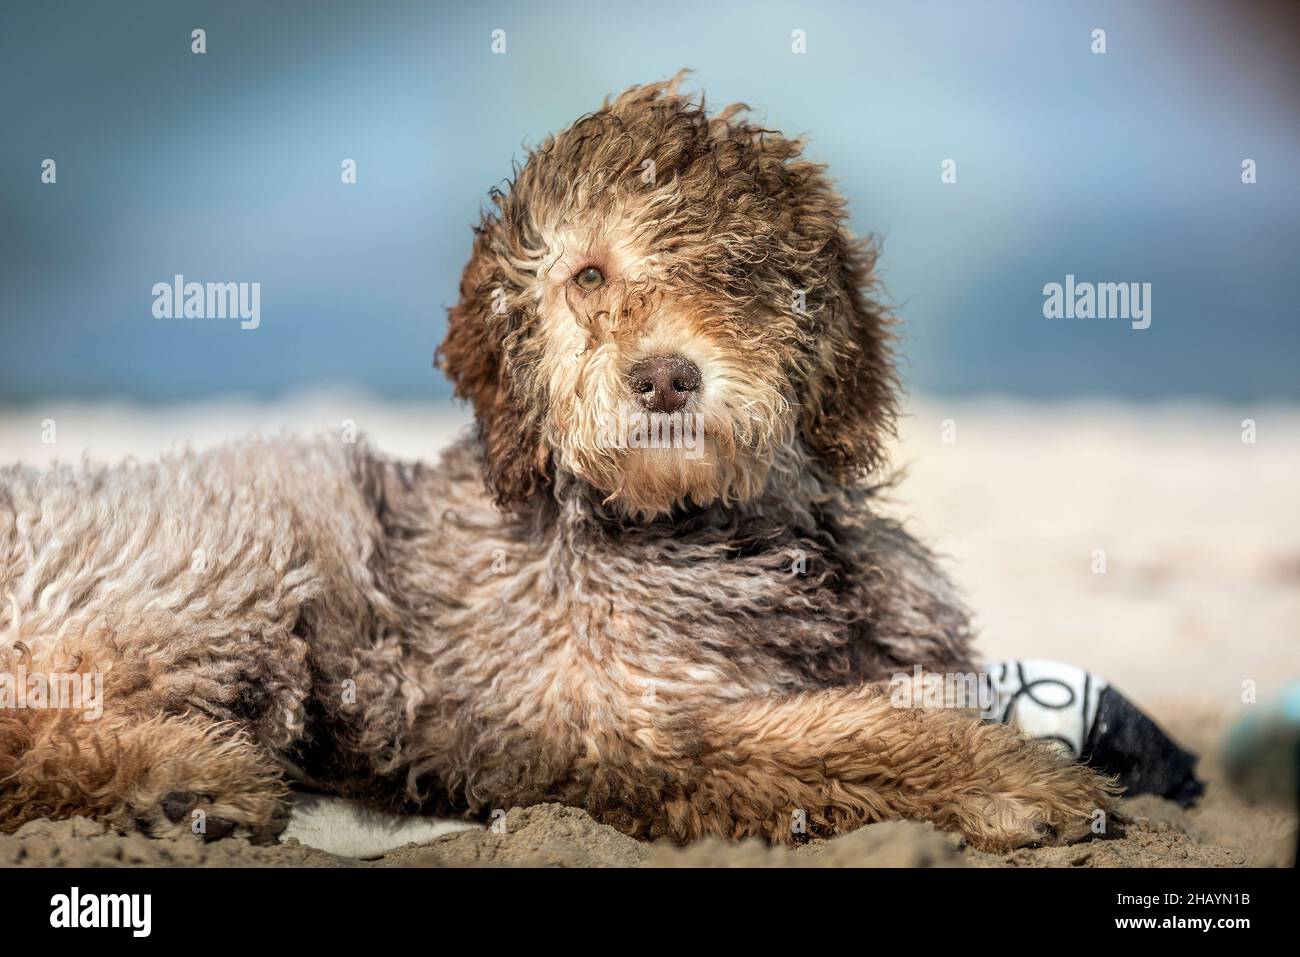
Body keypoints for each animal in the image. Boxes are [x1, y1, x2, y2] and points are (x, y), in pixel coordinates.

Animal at [2, 78, 1118, 847]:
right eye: (589, 276)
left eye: (743, 273)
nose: (664, 377)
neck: (711, 524)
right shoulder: (632, 728)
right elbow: (845, 741)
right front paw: (1016, 783)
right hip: (227, 555)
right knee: (31, 729)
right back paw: (178, 777)